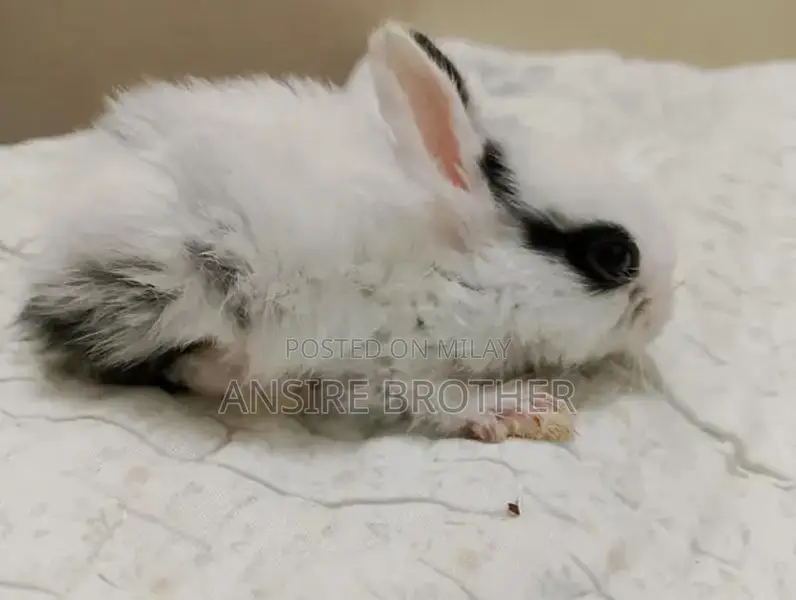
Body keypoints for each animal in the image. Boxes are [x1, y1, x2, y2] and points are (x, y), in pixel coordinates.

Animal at [15, 22, 676, 443]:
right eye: (613, 255)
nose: (663, 313)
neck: (458, 267)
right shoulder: (395, 360)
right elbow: (432, 400)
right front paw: (515, 408)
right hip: (178, 296)